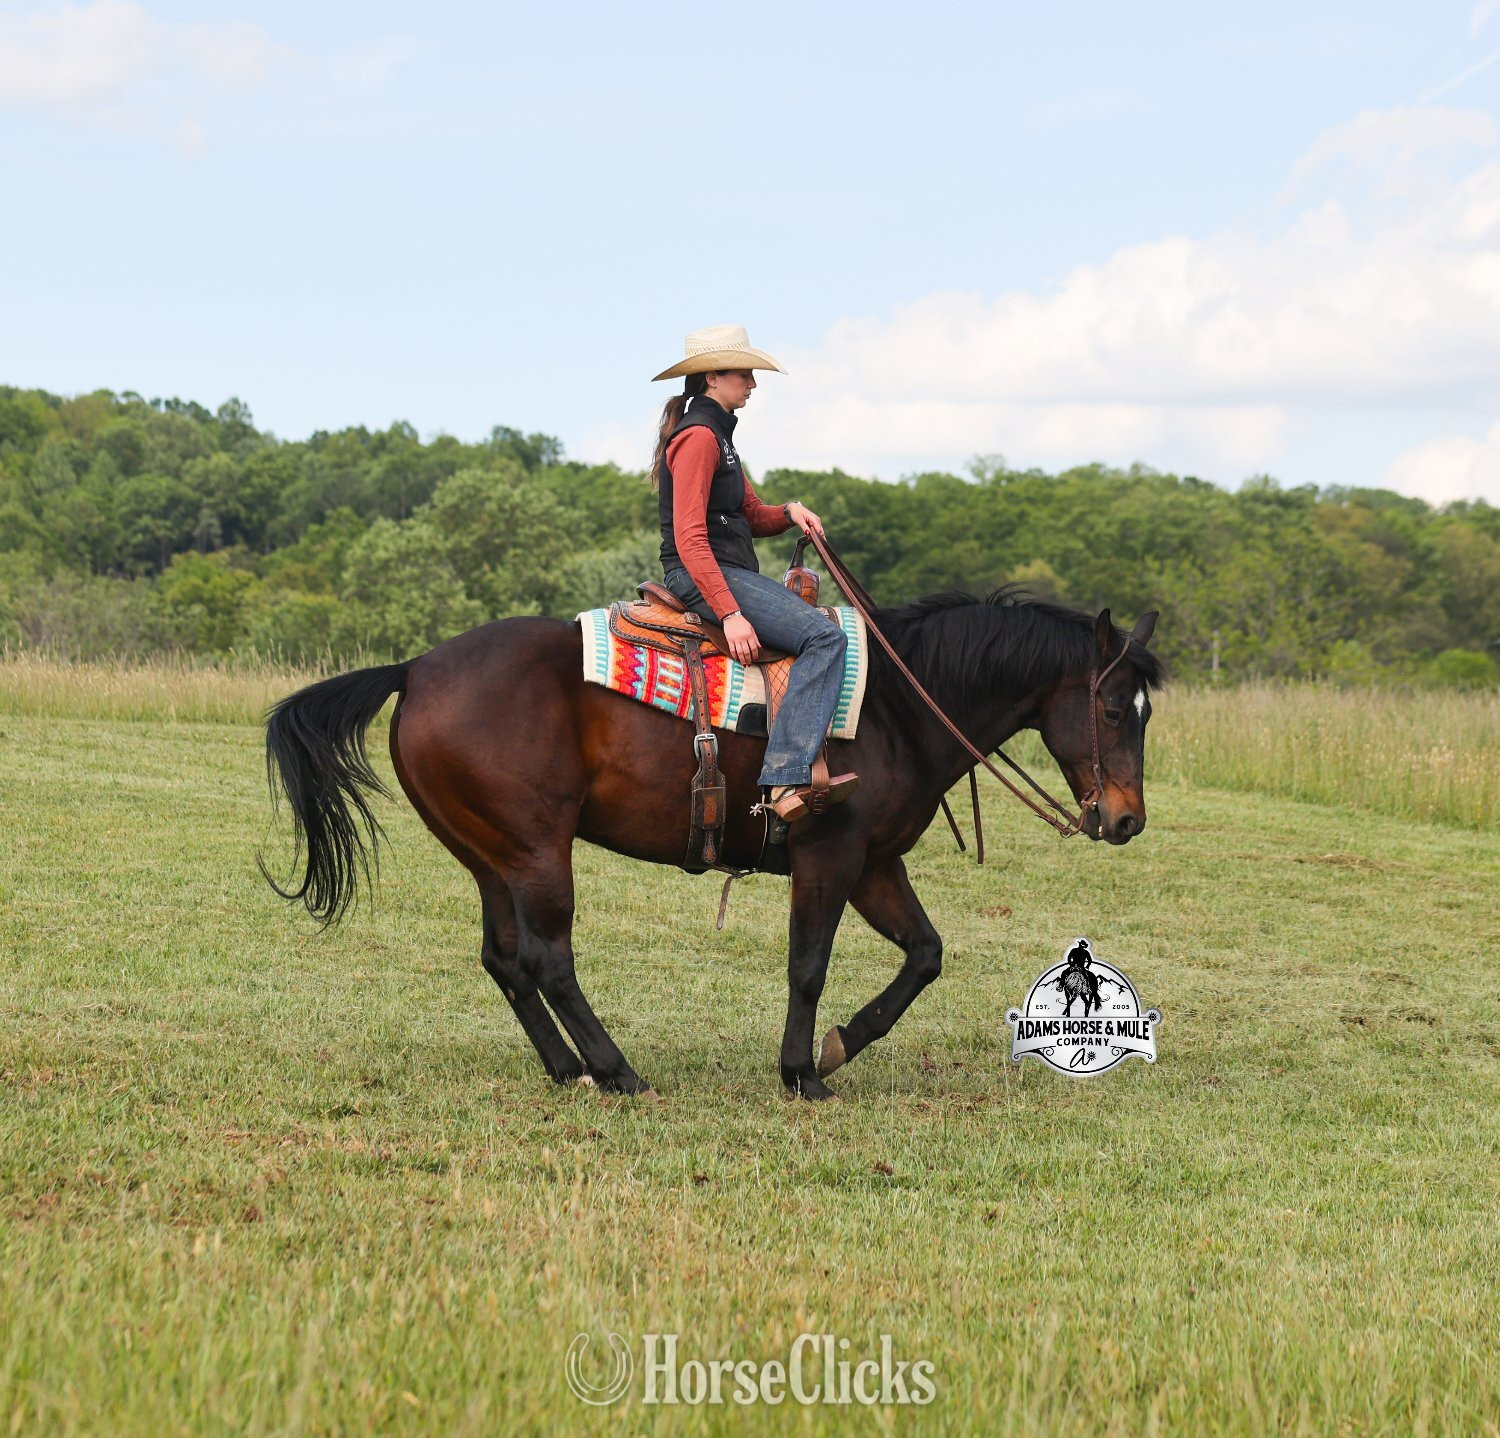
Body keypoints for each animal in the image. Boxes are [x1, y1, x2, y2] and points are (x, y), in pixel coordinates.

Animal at [258, 586, 1164, 1100]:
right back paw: (615, 1069)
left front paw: (841, 1045)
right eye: (1111, 706)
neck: (896, 706)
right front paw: (802, 1072)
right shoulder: (830, 855)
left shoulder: (876, 863)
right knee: (548, 959)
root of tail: (415, 668)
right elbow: (808, 965)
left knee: (505, 960)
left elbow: (926, 954)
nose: (1127, 819)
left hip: (490, 857)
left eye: (1144, 710)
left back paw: (566, 1067)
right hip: (537, 853)